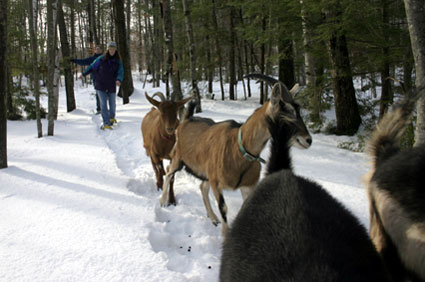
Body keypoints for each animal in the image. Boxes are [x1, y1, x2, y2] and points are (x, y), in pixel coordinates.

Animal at [159, 75, 312, 236]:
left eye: (298, 110)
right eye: (287, 112)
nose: (308, 140)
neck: (239, 148)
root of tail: (187, 119)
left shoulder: (247, 186)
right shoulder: (217, 183)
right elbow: (224, 208)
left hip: (205, 172)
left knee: (202, 187)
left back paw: (213, 218)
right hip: (179, 159)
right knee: (169, 172)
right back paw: (163, 202)